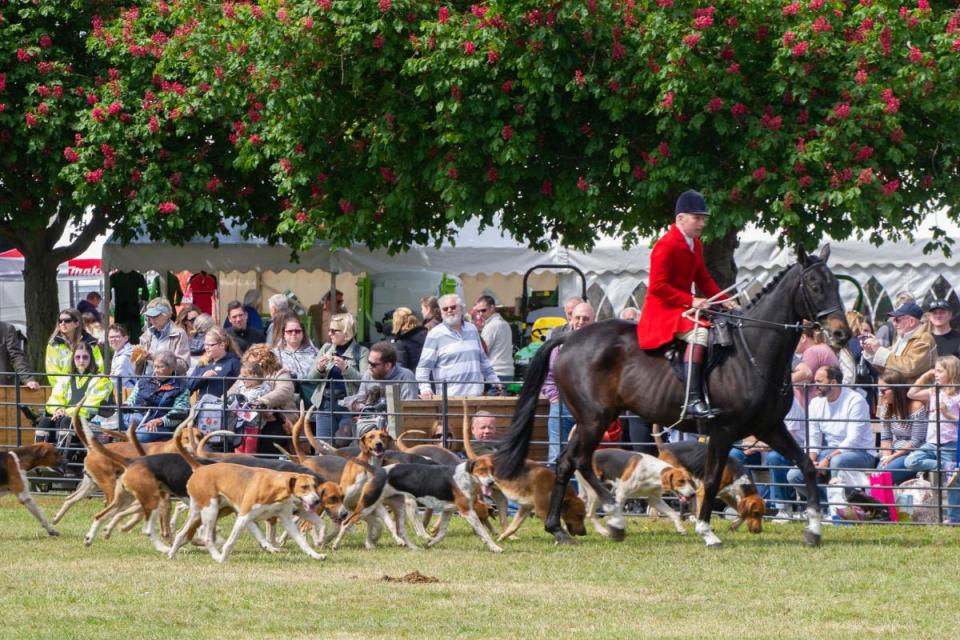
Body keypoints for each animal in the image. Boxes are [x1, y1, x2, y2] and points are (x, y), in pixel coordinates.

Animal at [496, 248, 848, 548]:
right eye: (814, 285)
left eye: (836, 285)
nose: (842, 334)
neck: (753, 352)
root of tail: (570, 337)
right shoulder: (724, 430)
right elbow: (712, 477)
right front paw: (706, 531)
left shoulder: (769, 427)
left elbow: (807, 465)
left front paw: (814, 529)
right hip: (593, 418)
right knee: (578, 461)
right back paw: (613, 519)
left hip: (590, 420)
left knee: (566, 463)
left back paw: (557, 528)